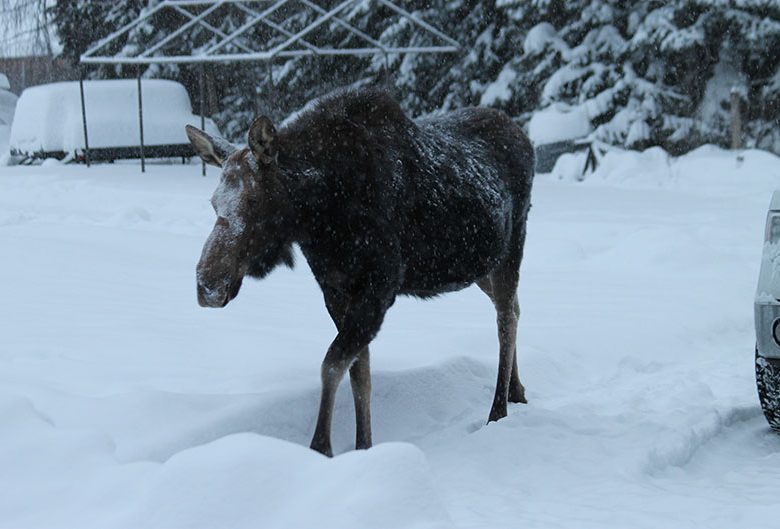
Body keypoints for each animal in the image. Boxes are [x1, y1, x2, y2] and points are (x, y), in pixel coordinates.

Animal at [186, 86, 532, 454]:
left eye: (254, 201)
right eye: (213, 203)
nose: (208, 286)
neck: (320, 216)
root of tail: (521, 133)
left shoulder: (378, 290)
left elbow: (332, 365)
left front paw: (322, 446)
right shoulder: (336, 290)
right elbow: (359, 374)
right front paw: (363, 446)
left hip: (513, 245)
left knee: (505, 318)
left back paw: (498, 410)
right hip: (481, 266)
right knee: (514, 307)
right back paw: (517, 390)